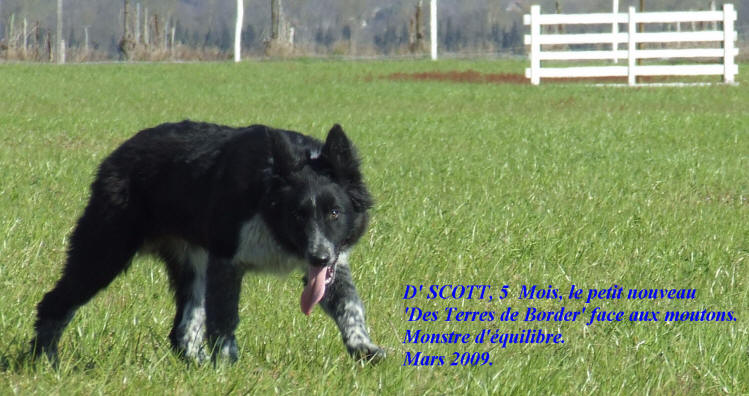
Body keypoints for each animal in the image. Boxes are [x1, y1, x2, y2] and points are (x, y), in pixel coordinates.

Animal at [30, 122, 382, 364]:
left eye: (335, 212)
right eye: (298, 215)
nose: (319, 257)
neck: (268, 196)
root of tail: (119, 153)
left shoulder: (332, 262)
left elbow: (350, 305)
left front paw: (364, 349)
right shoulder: (226, 261)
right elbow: (225, 317)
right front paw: (227, 365)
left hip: (191, 263)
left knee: (183, 327)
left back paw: (194, 362)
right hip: (105, 250)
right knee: (56, 301)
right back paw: (45, 361)